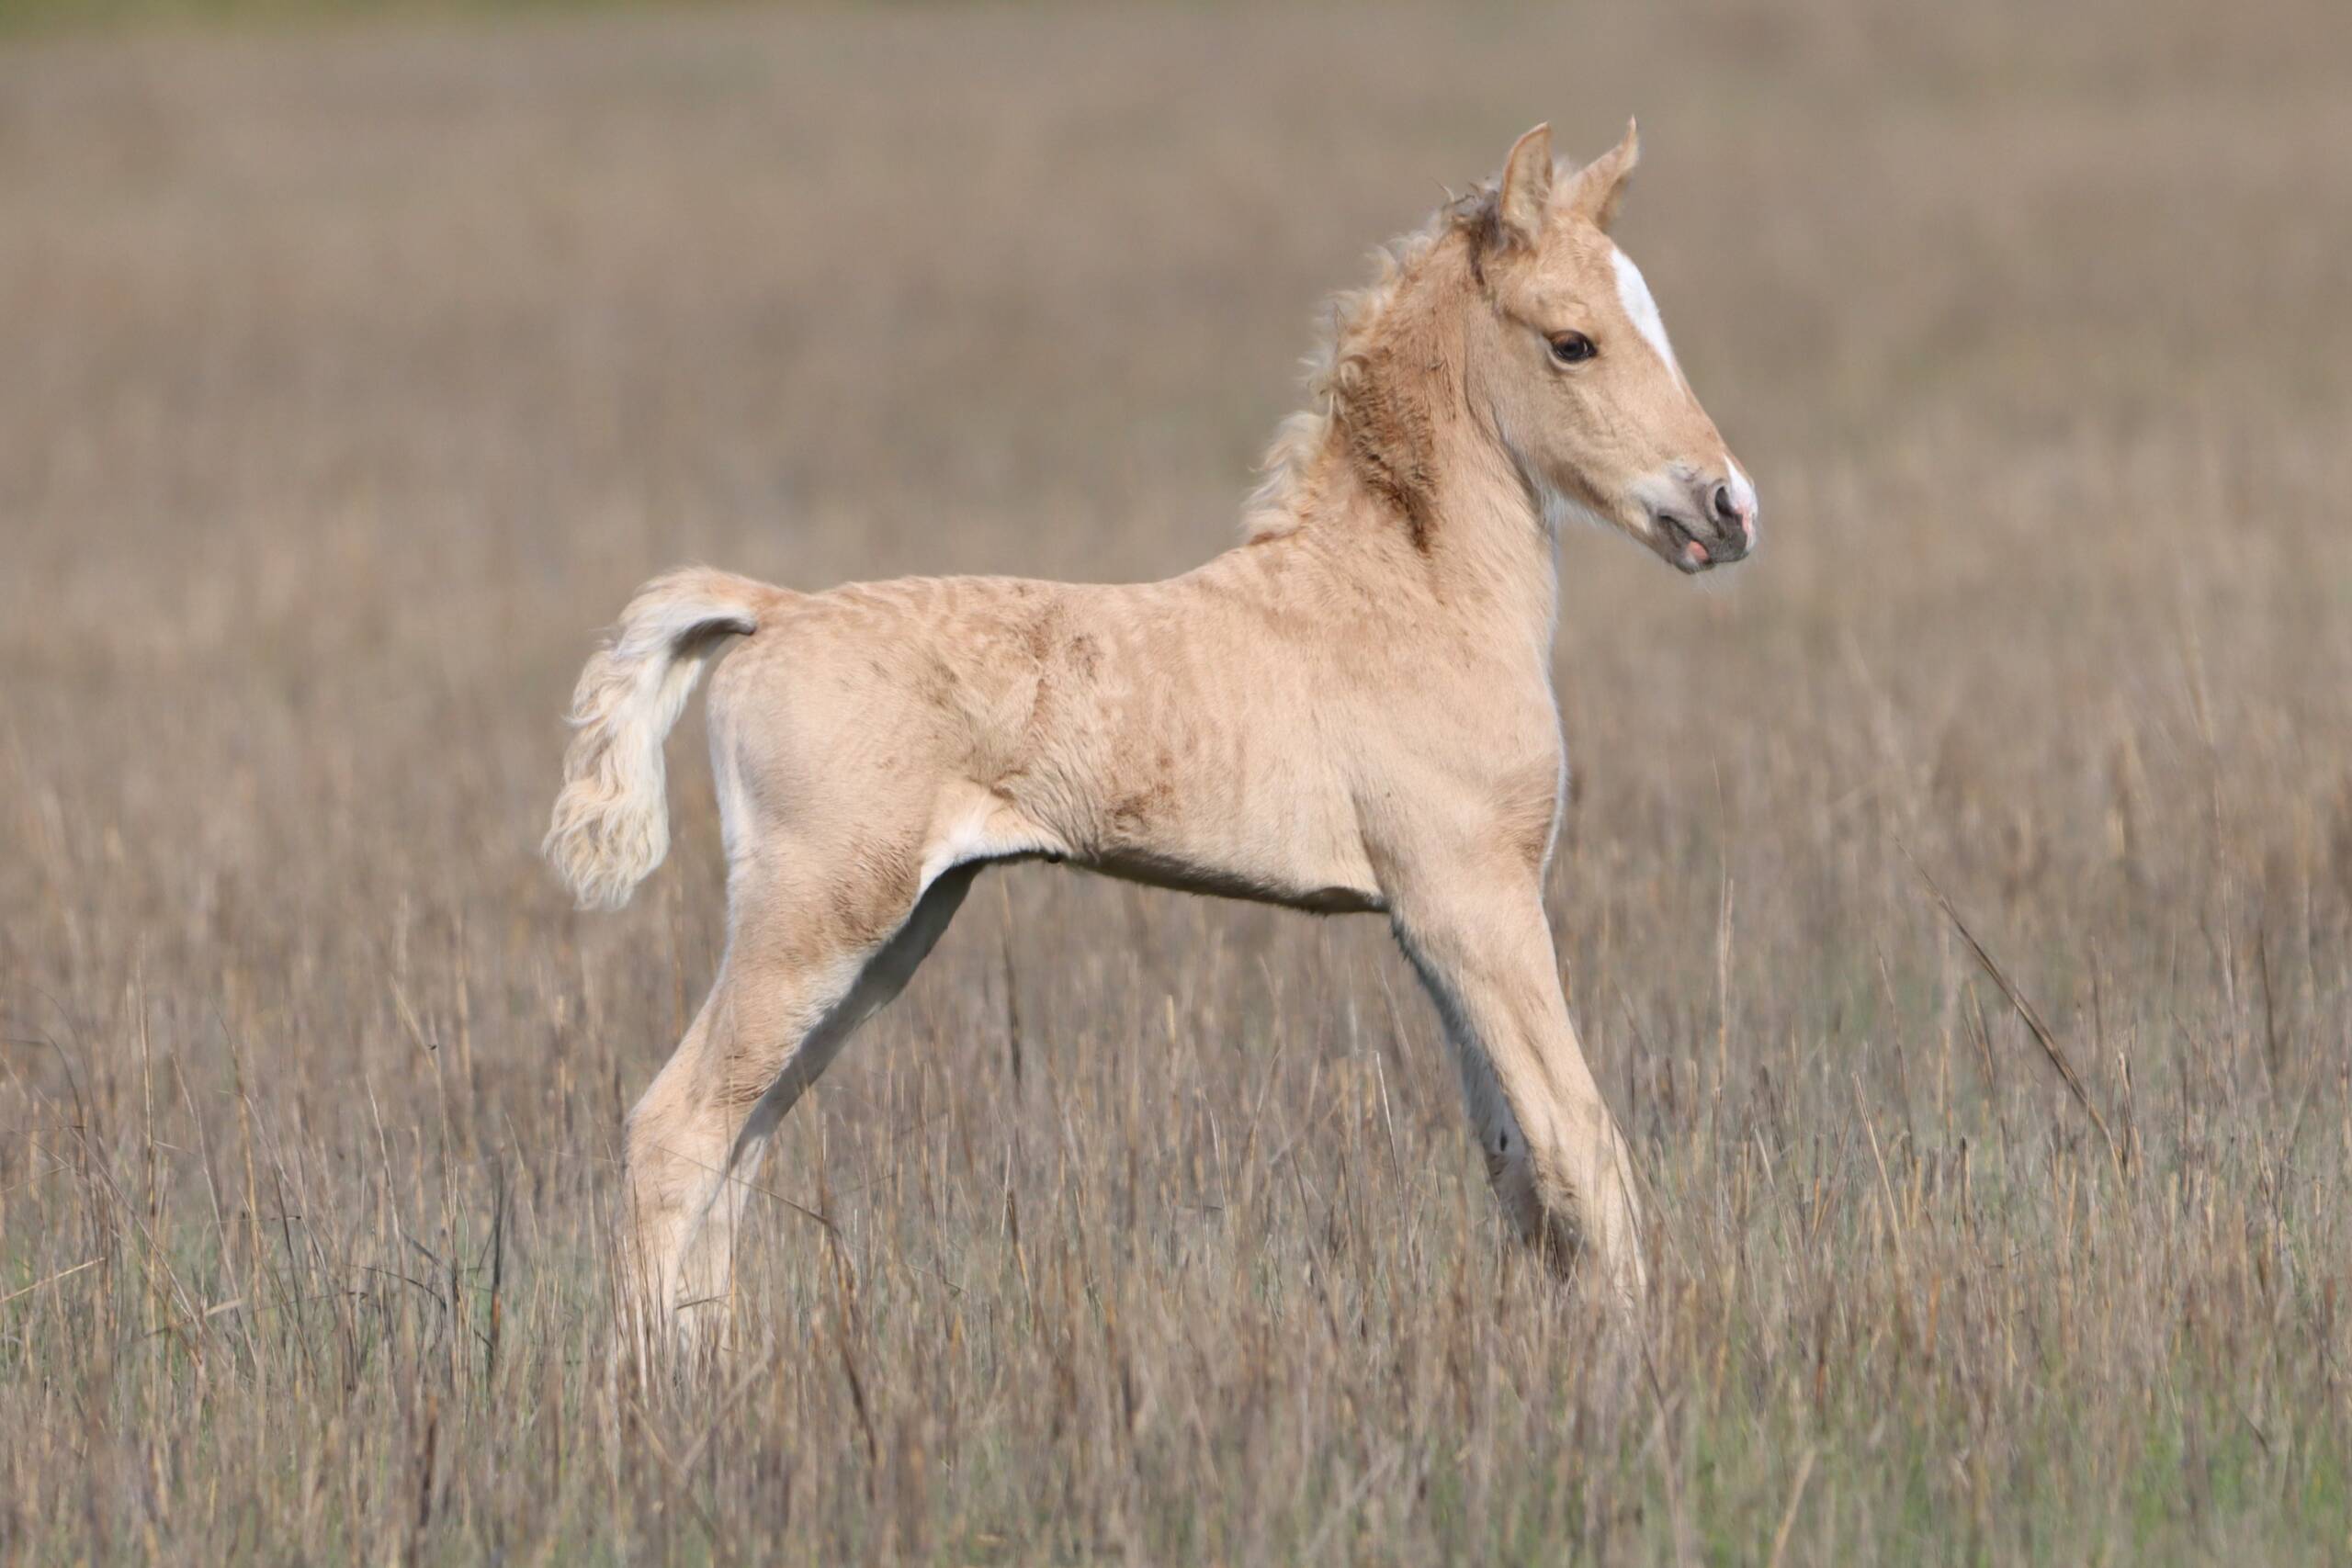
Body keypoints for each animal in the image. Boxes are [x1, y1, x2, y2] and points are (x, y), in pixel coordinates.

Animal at [546, 121, 1758, 1347]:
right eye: (1573, 342)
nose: (1728, 508)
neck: (1410, 592)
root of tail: (770, 610)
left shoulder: (1437, 920)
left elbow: (1518, 1162)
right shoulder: (1472, 899)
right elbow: (1579, 1144)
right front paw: (1635, 1359)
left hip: (891, 935)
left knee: (743, 1144)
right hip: (815, 917)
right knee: (676, 1129)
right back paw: (650, 1381)